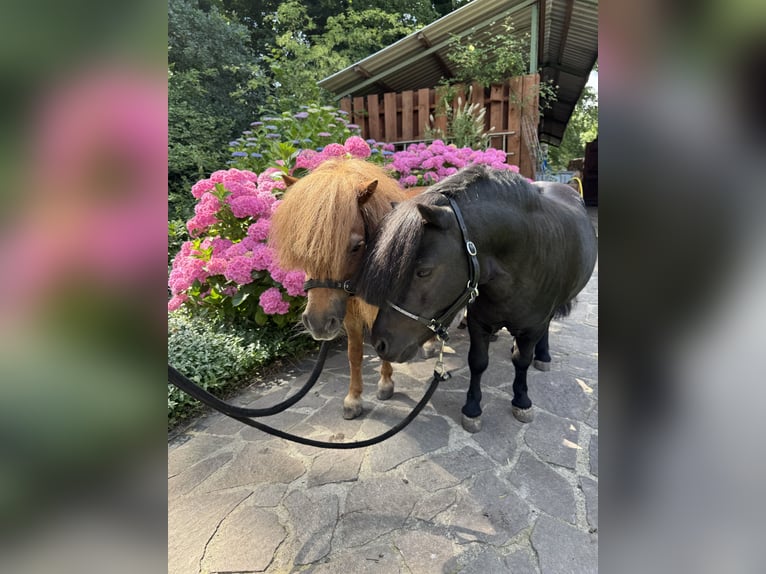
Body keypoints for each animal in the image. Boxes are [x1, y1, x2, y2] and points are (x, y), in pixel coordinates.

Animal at [269, 158, 422, 420]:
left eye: (356, 246)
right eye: (302, 246)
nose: (318, 323)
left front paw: (385, 384)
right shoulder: (348, 312)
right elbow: (354, 354)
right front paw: (354, 398)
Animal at [358, 164, 598, 433]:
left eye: (423, 272)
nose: (379, 343)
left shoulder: (532, 326)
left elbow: (522, 361)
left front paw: (521, 399)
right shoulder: (479, 322)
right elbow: (478, 362)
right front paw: (472, 407)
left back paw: (543, 355)